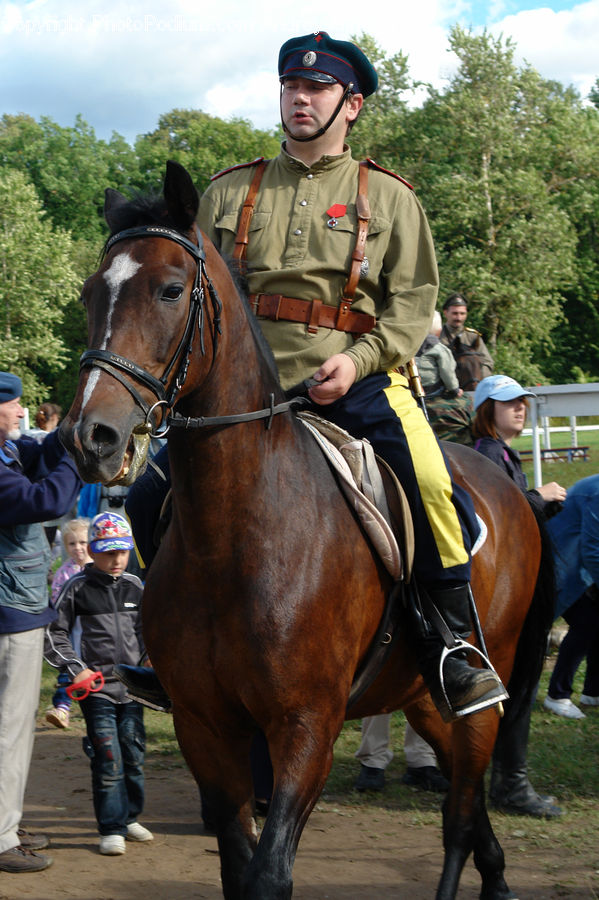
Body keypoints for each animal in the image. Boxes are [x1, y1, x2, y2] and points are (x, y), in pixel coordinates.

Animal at [60, 161, 553, 900]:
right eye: (93, 292)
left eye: (171, 290)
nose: (91, 436)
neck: (238, 536)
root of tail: (510, 487)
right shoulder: (208, 728)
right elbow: (238, 868)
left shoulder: (305, 727)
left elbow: (269, 874)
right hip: (422, 699)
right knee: (470, 817)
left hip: (478, 703)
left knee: (462, 813)